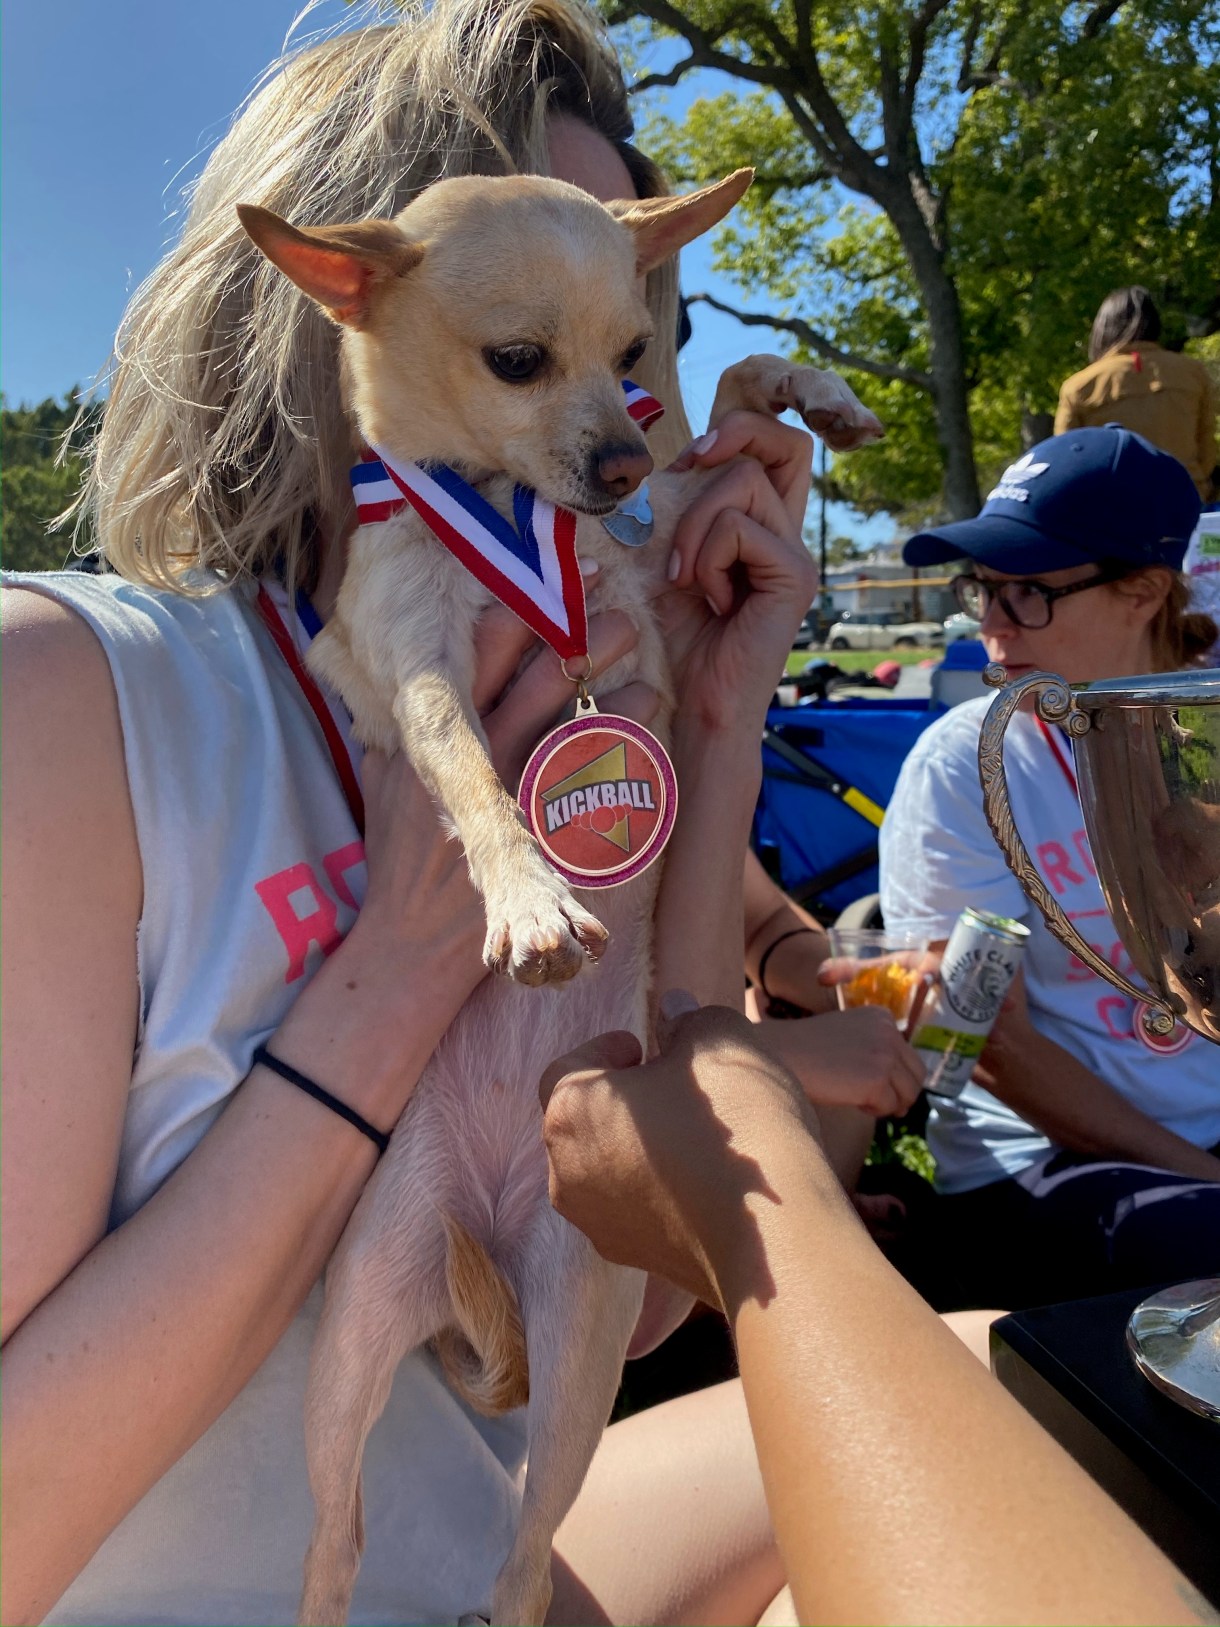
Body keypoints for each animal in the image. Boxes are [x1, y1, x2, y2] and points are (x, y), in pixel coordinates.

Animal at [240, 168, 891, 1627]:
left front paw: (806, 392)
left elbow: (730, 422)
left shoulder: (662, 587)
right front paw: (529, 897)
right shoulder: (415, 660)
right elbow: (469, 767)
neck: (520, 516)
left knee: (528, 1552)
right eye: (517, 362)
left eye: (634, 352)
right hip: (353, 1338)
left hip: (581, 1350)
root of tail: (484, 1213)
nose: (621, 466)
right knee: (335, 1536)